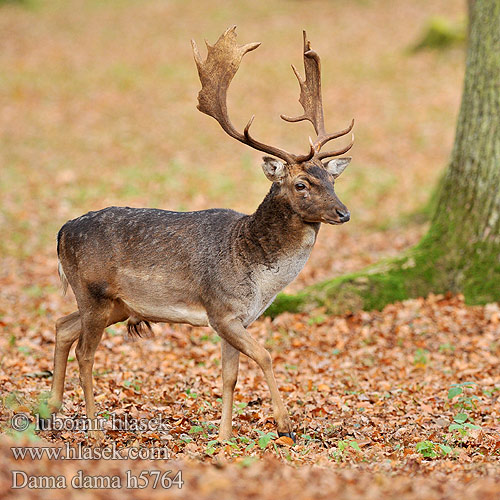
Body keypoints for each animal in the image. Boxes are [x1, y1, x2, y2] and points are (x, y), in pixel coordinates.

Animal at [47, 27, 354, 442]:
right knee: (85, 352)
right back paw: (93, 430)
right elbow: (265, 355)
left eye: (332, 179)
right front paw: (285, 425)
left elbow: (230, 376)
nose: (343, 212)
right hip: (92, 291)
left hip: (116, 304)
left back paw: (50, 410)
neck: (254, 267)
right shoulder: (220, 309)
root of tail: (61, 233)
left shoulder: (240, 318)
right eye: (302, 184)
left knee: (62, 327)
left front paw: (224, 438)